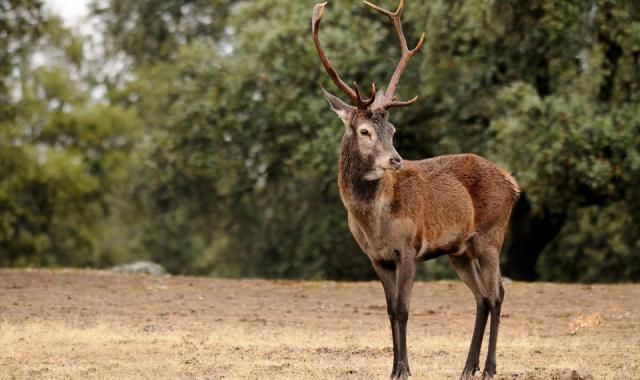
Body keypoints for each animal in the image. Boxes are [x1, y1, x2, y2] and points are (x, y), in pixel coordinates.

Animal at [312, 0, 520, 380]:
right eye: (364, 131)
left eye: (392, 129)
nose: (396, 160)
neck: (373, 223)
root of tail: (513, 183)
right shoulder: (375, 257)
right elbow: (389, 310)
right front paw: (395, 367)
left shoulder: (408, 247)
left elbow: (404, 308)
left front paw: (404, 369)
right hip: (459, 249)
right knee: (481, 297)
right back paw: (467, 367)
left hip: (490, 235)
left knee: (497, 293)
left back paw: (489, 368)